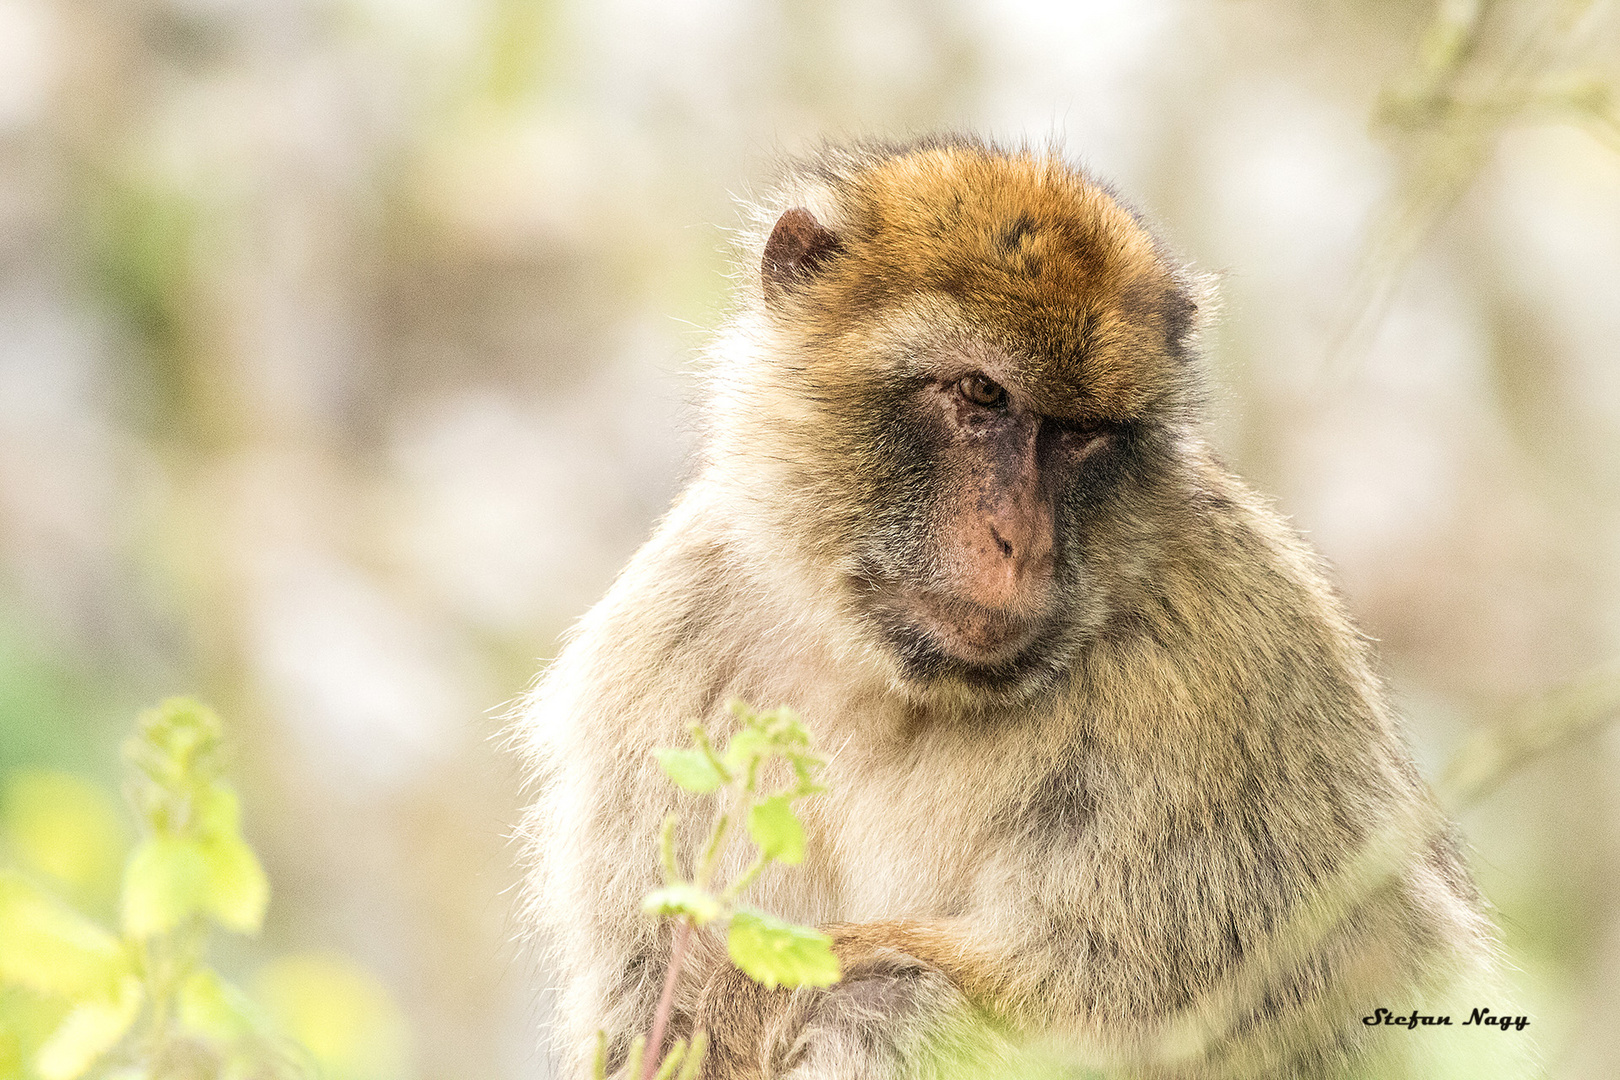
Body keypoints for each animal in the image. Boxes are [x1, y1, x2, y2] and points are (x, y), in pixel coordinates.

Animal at [515, 137, 1516, 1080]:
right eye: (982, 393)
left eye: (1082, 435)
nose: (1021, 540)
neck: (901, 681)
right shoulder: (666, 642)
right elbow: (648, 1000)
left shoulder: (1223, 665)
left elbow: (1276, 989)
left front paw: (771, 988)